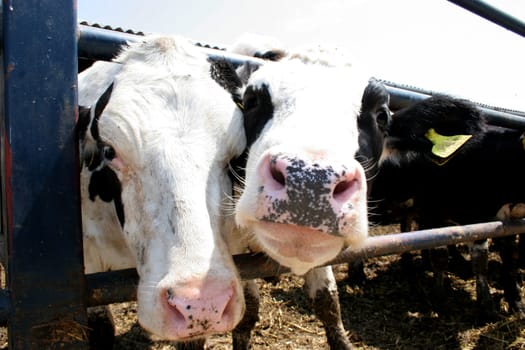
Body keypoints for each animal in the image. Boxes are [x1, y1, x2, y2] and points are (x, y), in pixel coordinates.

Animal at [368, 95, 524, 322]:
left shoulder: (506, 221)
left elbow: (509, 258)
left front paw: (516, 302)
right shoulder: (443, 213)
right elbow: (451, 256)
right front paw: (444, 299)